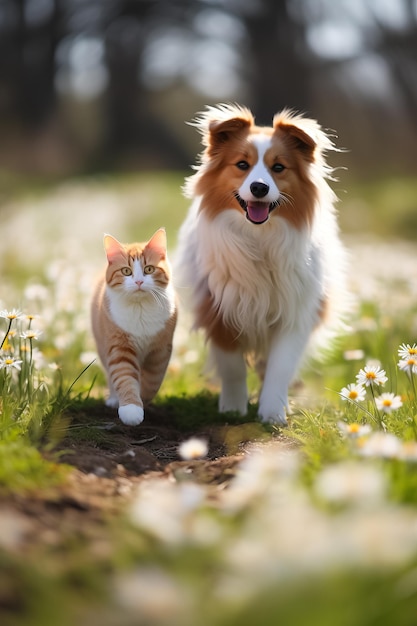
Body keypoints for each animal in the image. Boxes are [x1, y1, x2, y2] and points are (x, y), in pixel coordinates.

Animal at [90, 227, 176, 426]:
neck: (140, 308)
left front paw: (143, 399)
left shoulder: (160, 351)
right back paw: (114, 399)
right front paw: (131, 409)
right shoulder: (119, 347)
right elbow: (125, 378)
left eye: (149, 269)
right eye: (126, 271)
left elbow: (152, 382)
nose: (138, 282)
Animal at [174, 103, 346, 424]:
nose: (258, 188)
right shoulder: (218, 308)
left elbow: (280, 367)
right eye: (242, 164)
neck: (259, 238)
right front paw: (233, 408)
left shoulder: (295, 313)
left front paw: (273, 412)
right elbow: (231, 366)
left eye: (278, 168)